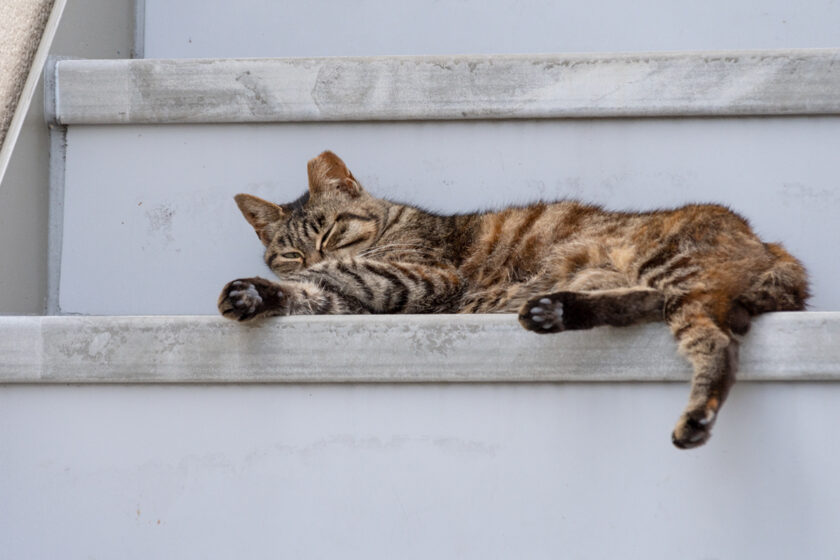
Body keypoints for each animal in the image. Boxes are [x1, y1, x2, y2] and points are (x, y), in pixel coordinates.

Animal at [220, 151, 812, 448]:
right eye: (289, 253)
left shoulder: (423, 276)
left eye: (332, 231)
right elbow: (316, 295)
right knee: (649, 305)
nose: (309, 259)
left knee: (716, 343)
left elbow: (347, 275)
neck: (393, 223)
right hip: (656, 285)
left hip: (674, 271)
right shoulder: (363, 293)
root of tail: (771, 248)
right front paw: (256, 294)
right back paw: (554, 309)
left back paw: (694, 419)